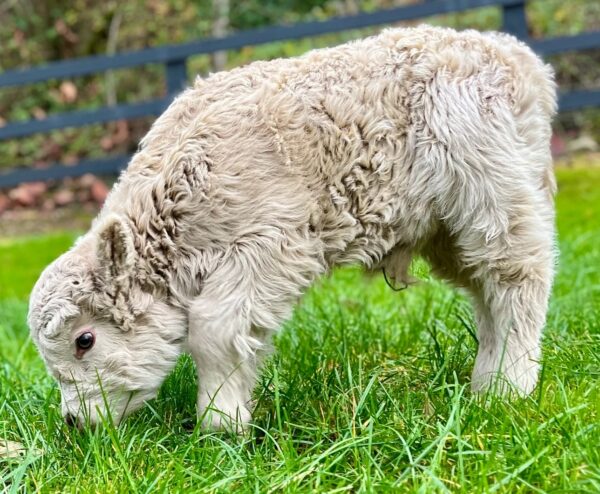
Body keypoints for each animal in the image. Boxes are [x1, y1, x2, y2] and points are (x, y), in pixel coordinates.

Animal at [27, 25, 556, 430]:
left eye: (85, 340)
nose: (73, 422)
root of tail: (515, 55)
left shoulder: (271, 244)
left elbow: (214, 329)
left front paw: (221, 424)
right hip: (444, 227)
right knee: (484, 289)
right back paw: (485, 384)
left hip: (491, 186)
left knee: (517, 274)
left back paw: (511, 388)